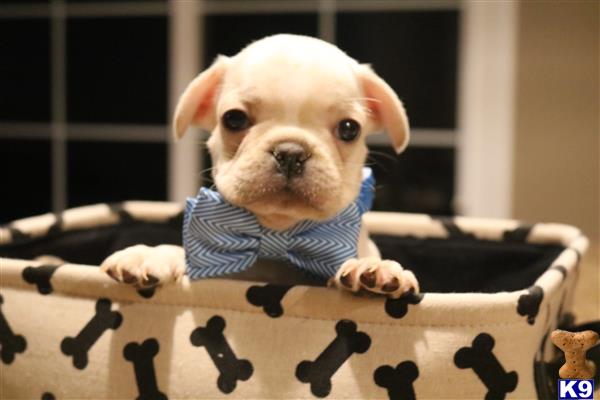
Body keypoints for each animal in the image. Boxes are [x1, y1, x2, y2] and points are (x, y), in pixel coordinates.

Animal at [99, 33, 418, 296]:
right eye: (234, 118)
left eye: (350, 129)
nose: (290, 152)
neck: (278, 232)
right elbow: (183, 254)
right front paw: (151, 254)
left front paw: (371, 268)